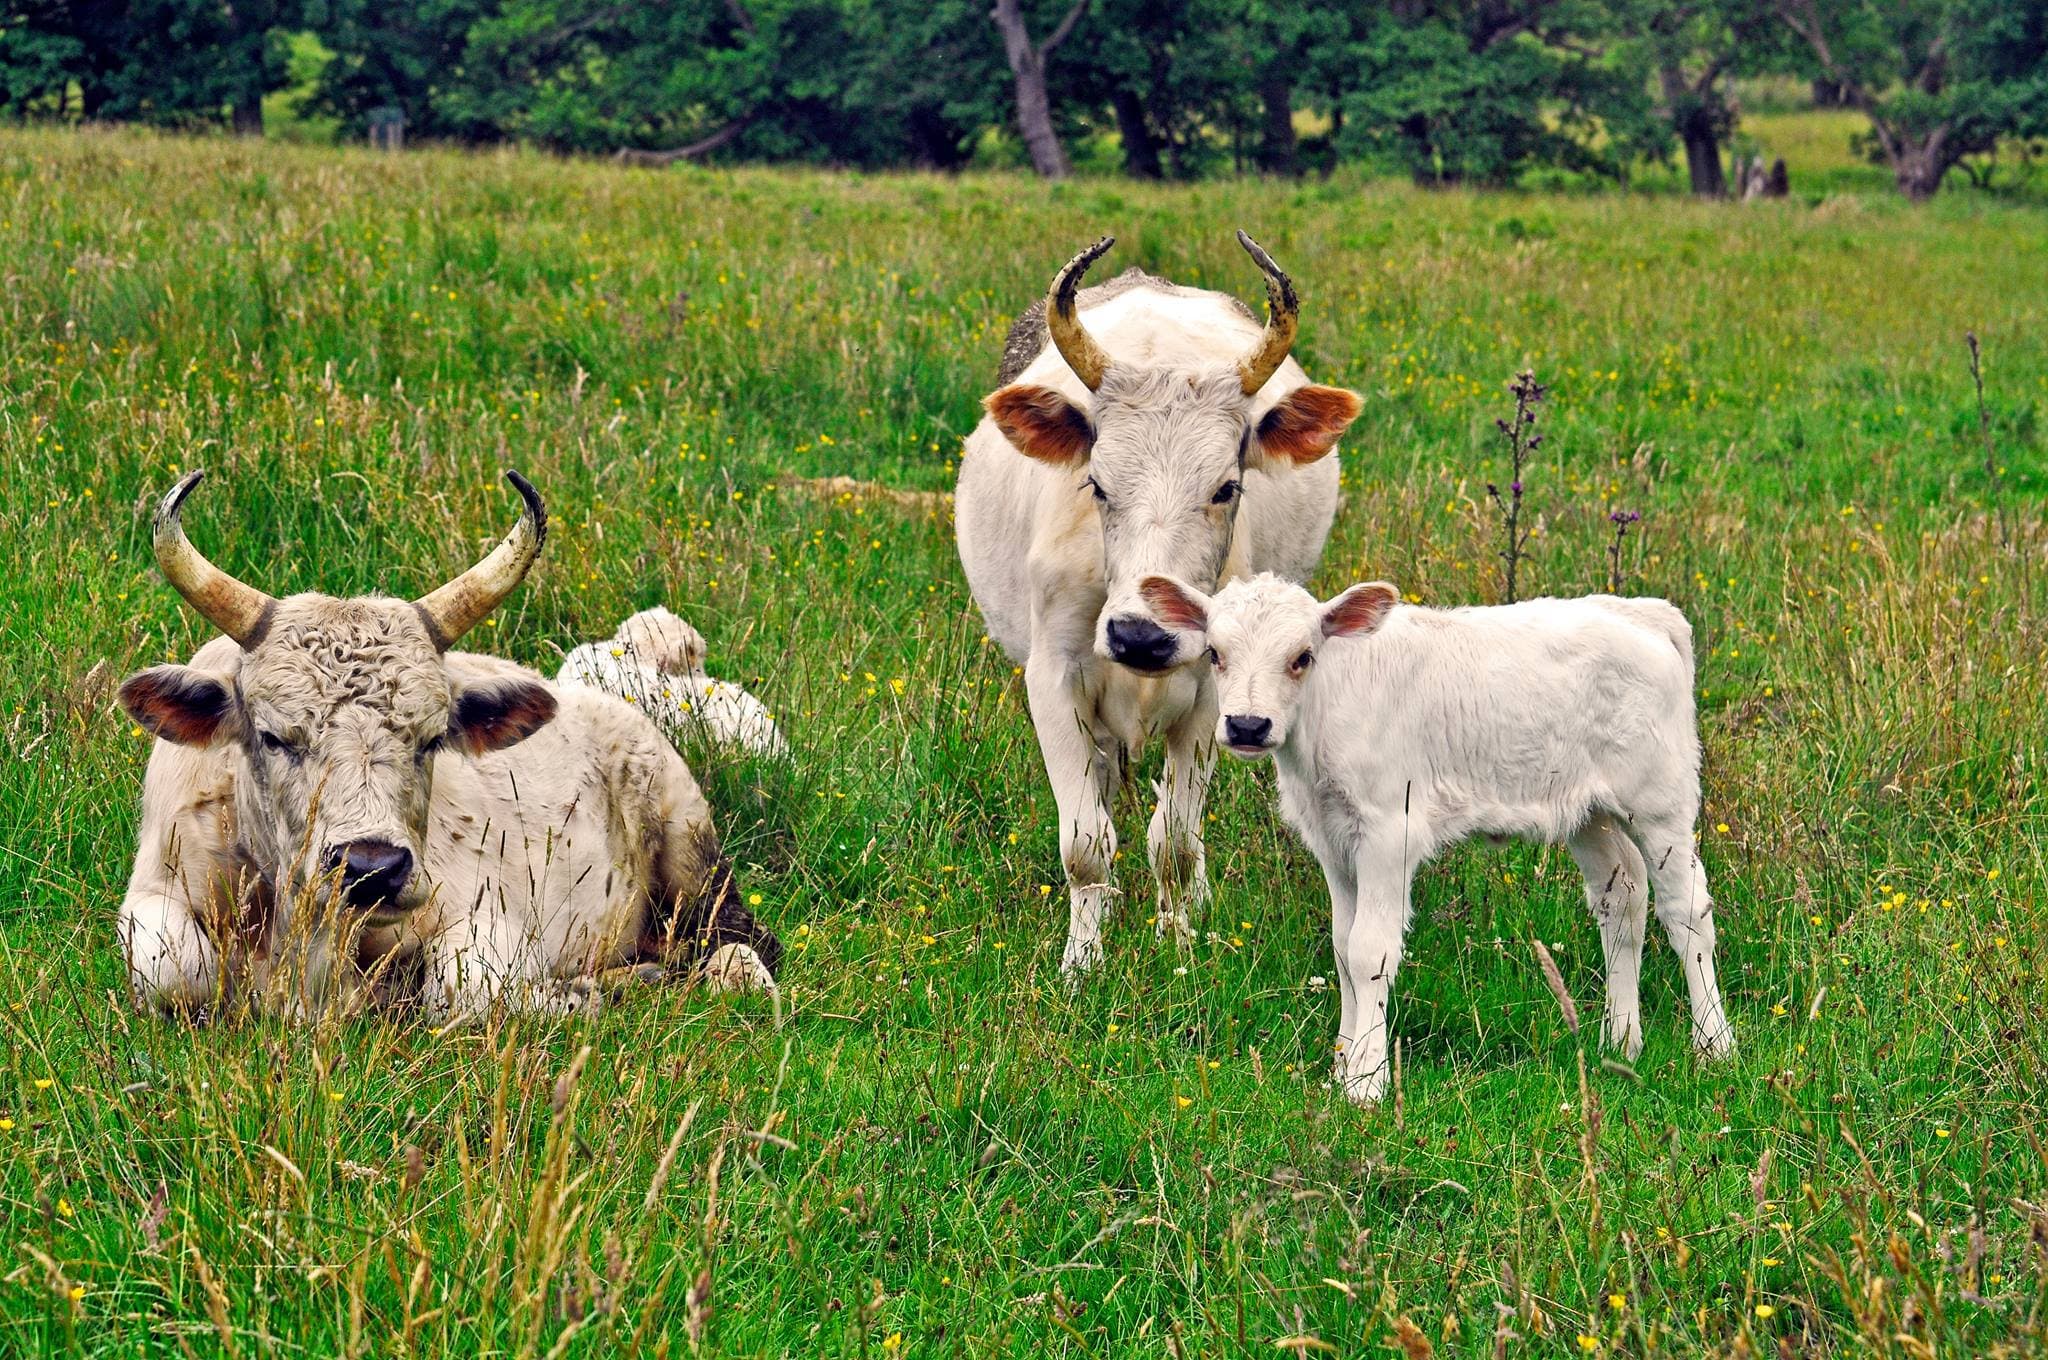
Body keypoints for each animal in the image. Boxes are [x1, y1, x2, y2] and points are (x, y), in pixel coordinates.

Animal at [114, 470, 781, 1020]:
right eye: (274, 737)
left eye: (432, 738)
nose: (371, 870)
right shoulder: (155, 892)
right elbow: (174, 969)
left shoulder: (491, 920)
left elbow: (461, 986)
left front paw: (573, 996)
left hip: (690, 846)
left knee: (738, 941)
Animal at [956, 233, 1364, 974]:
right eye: (1097, 483)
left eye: (1227, 487)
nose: (1141, 638)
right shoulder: (1053, 678)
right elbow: (1086, 843)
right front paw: (1083, 961)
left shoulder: (1211, 692)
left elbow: (1172, 840)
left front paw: (1180, 942)